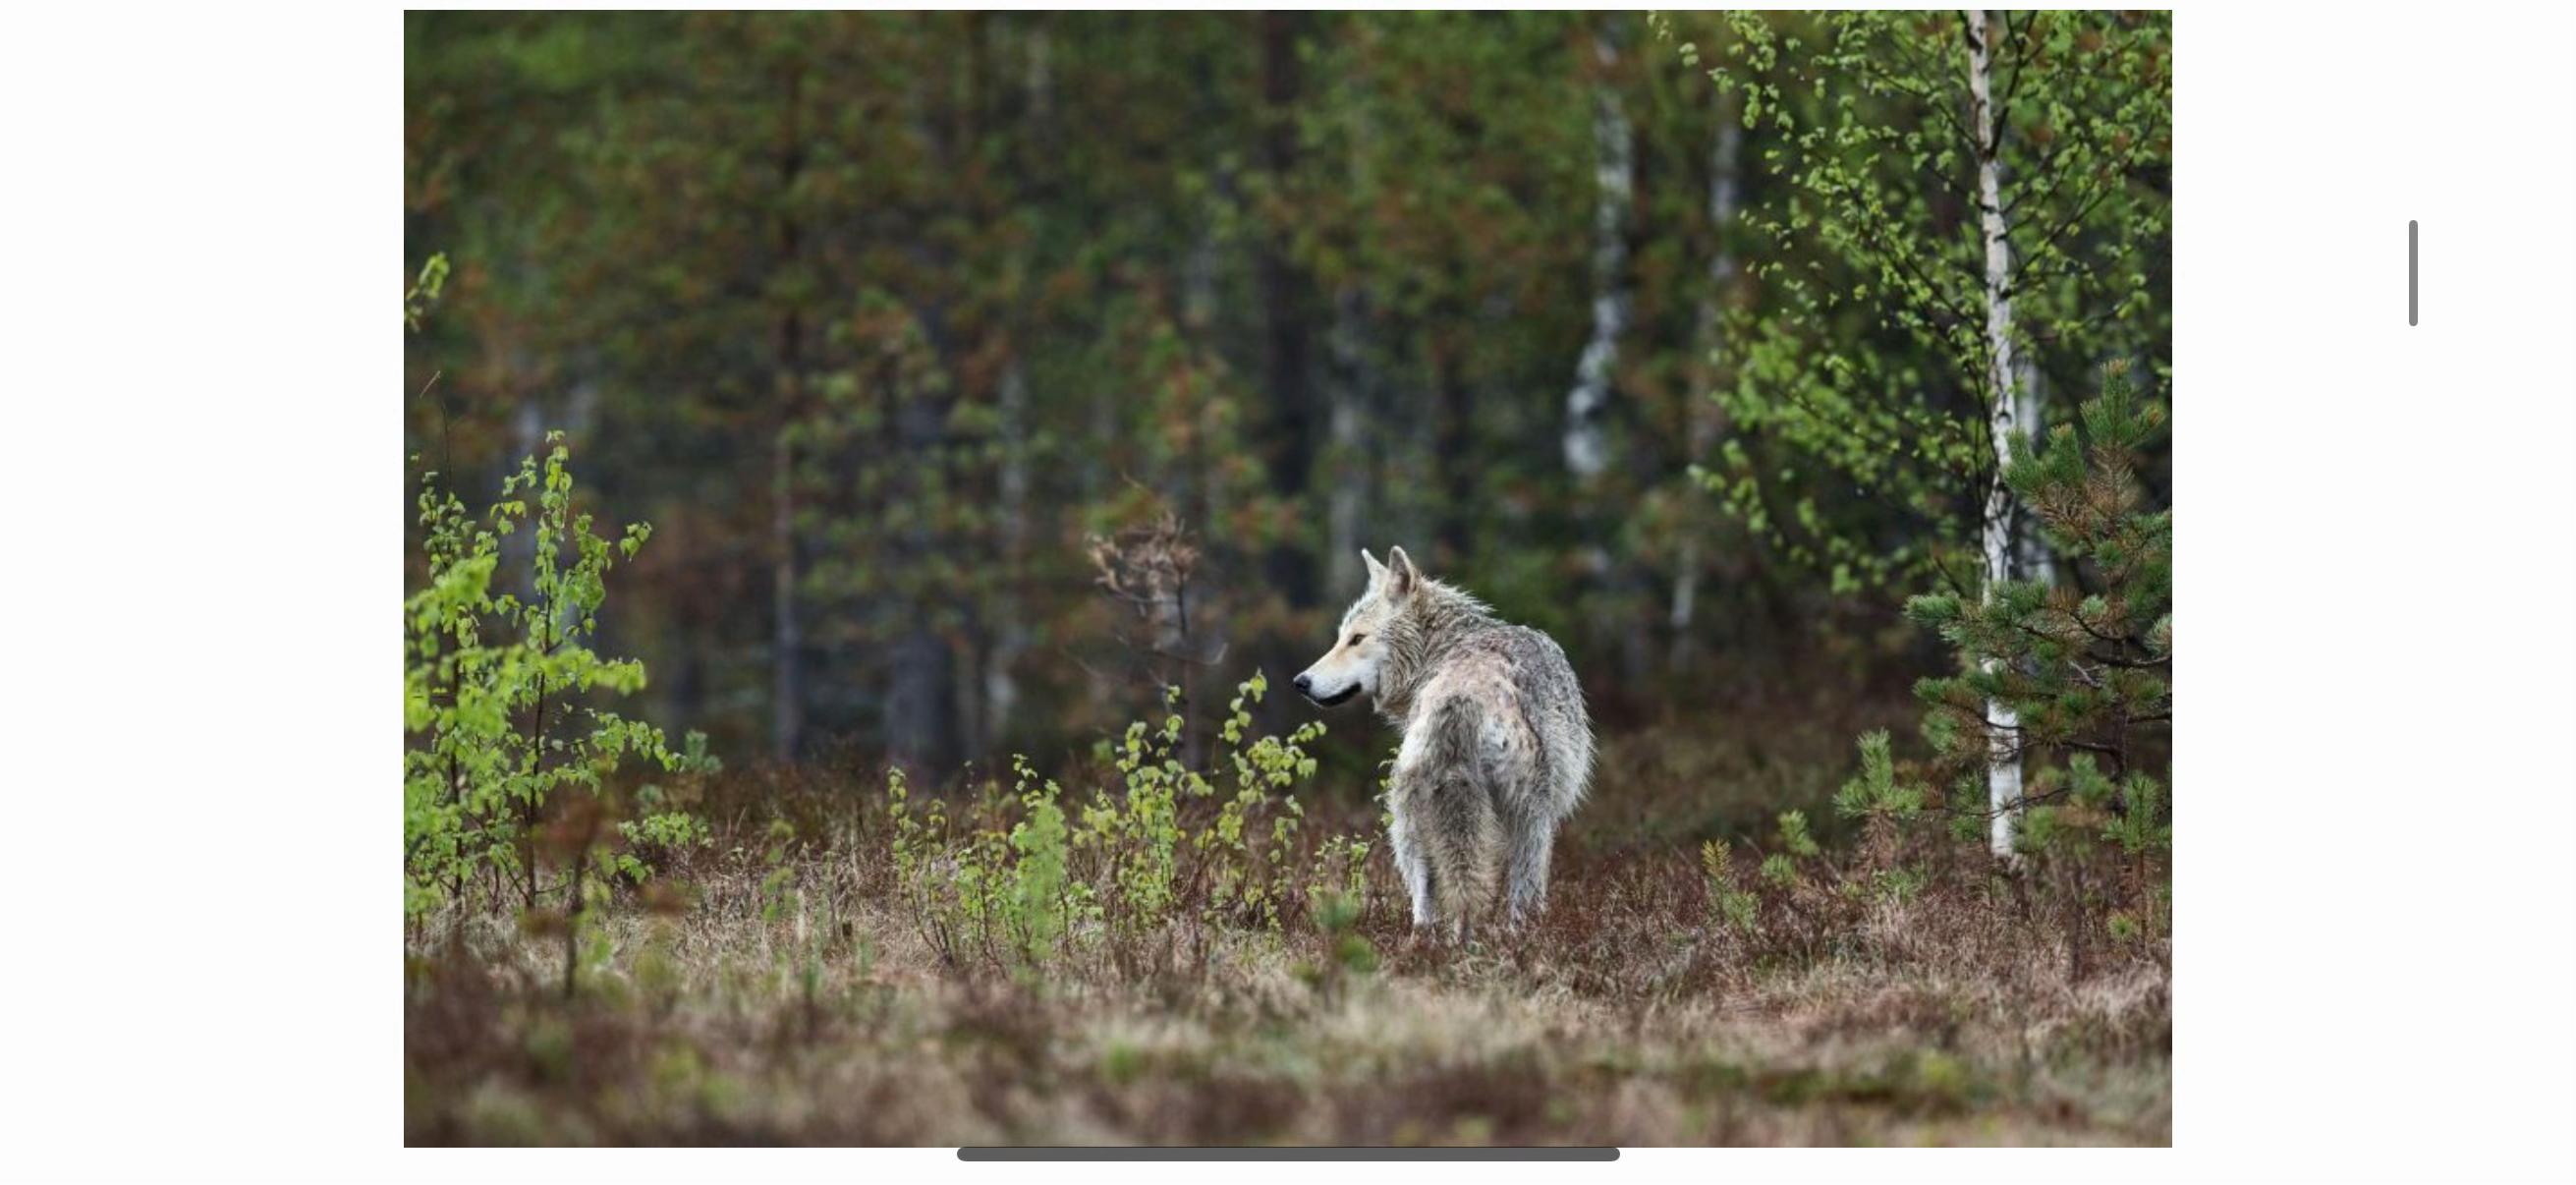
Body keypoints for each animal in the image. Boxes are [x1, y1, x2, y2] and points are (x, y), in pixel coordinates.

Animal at [1293, 546, 1593, 942]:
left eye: (1355, 638)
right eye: (1343, 637)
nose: (1300, 682)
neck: (1441, 649)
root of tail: (1460, 698)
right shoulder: (1542, 818)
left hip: (1410, 819)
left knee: (1426, 902)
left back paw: (1429, 945)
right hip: (1526, 818)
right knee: (1515, 897)